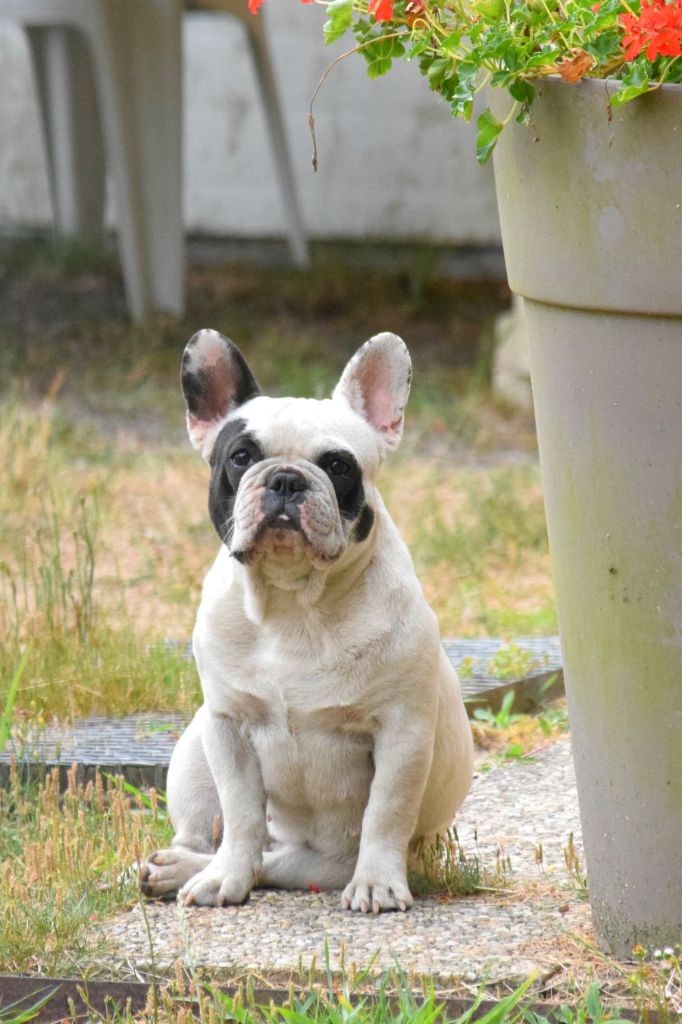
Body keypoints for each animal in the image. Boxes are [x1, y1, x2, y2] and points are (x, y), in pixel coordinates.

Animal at [140, 327, 471, 913]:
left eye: (339, 466)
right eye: (241, 457)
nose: (287, 480)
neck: (294, 604)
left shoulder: (402, 732)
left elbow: (386, 811)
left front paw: (378, 884)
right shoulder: (227, 726)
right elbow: (242, 813)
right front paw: (225, 880)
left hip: (325, 860)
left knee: (279, 862)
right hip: (193, 752)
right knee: (217, 836)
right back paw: (185, 867)